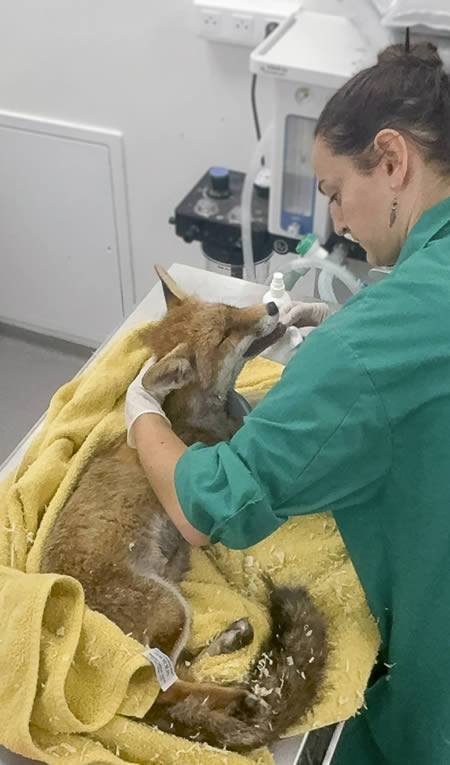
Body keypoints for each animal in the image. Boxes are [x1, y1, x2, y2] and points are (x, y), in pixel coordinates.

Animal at [40, 265, 328, 752]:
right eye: (227, 333)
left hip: (172, 620)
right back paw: (239, 699)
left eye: (231, 310)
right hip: (170, 611)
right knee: (165, 694)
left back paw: (231, 648)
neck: (196, 417)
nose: (272, 306)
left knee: (177, 677)